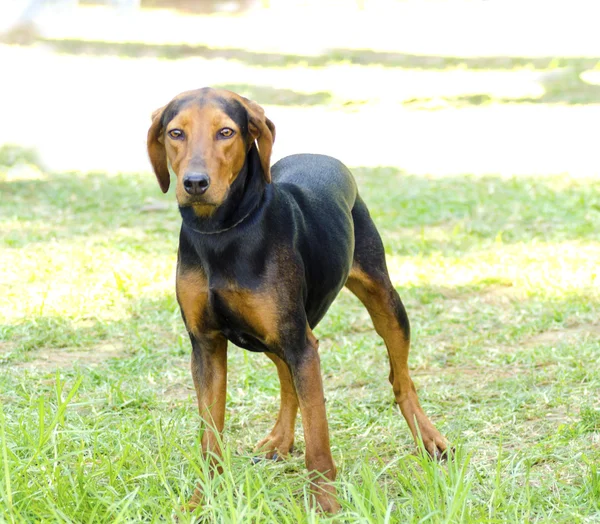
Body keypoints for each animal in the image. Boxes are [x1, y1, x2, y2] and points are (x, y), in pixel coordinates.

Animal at [146, 88, 446, 512]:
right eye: (175, 133)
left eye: (226, 132)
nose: (195, 183)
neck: (223, 232)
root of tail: (319, 155)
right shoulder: (206, 346)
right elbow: (210, 437)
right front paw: (202, 500)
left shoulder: (302, 345)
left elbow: (318, 437)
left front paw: (326, 505)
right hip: (273, 335)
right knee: (287, 380)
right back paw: (280, 439)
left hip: (383, 303)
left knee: (400, 378)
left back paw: (428, 437)